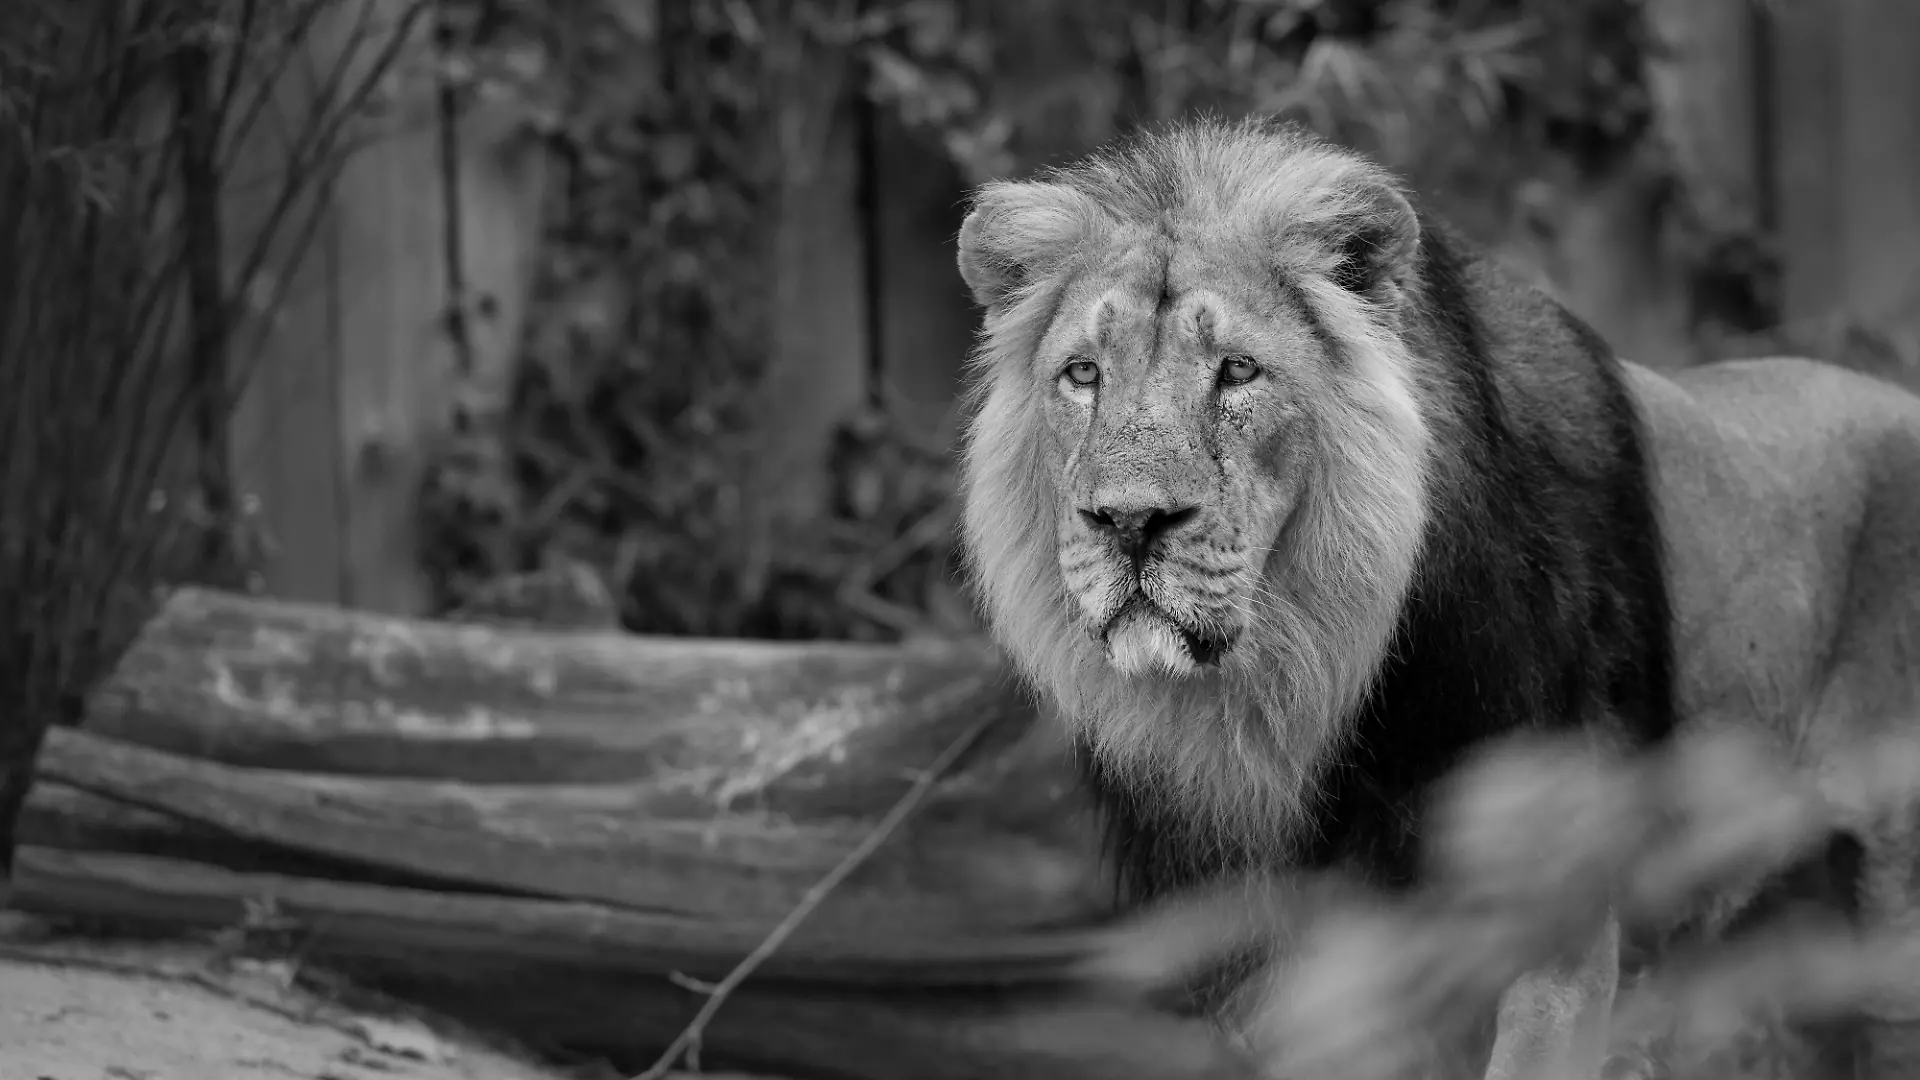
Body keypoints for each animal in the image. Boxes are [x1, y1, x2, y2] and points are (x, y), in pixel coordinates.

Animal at [952, 116, 1920, 1079]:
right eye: (1083, 374)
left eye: (1238, 371)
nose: (1129, 521)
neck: (1282, 703)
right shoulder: (1281, 973)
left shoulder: (1551, 925)